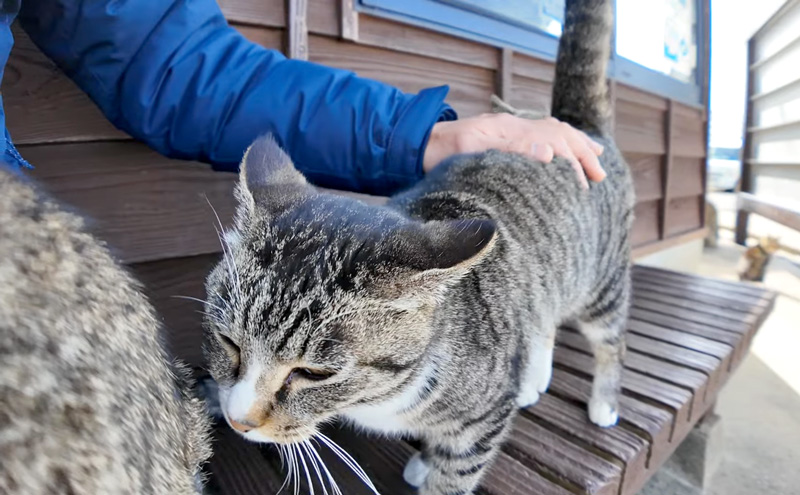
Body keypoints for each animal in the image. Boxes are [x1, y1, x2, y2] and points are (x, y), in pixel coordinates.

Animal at [200, 0, 632, 495]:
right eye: (228, 342)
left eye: (313, 373)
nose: (239, 420)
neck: (379, 399)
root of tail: (575, 125)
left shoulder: (480, 421)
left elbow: (456, 472)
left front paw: (433, 469)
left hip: (603, 281)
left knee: (610, 336)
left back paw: (603, 403)